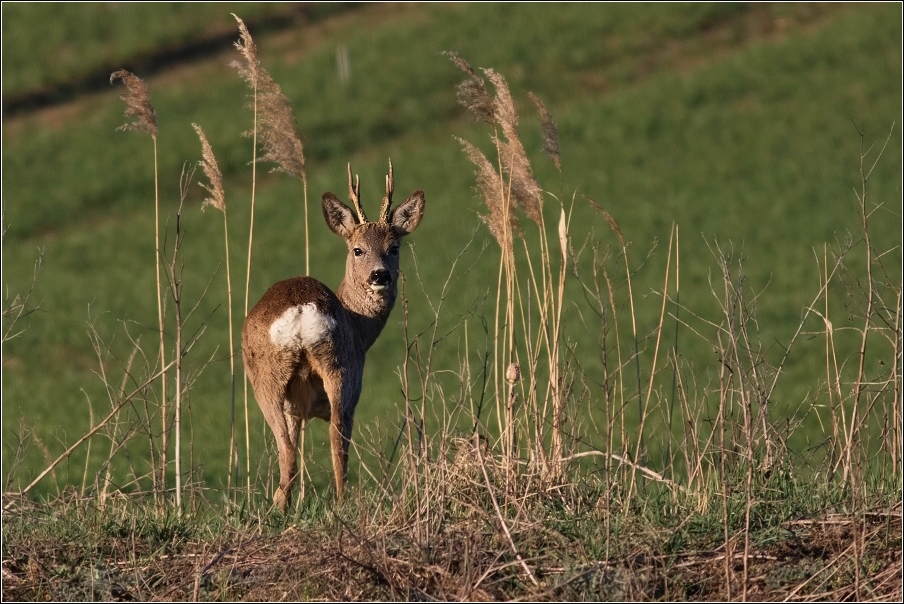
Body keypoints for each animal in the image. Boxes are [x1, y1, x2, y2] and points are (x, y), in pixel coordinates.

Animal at [240, 162, 424, 510]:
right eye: (358, 250)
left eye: (394, 248)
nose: (380, 275)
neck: (358, 325)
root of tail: (301, 310)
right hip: (338, 372)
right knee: (331, 441)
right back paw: (332, 504)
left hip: (281, 377)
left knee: (298, 449)